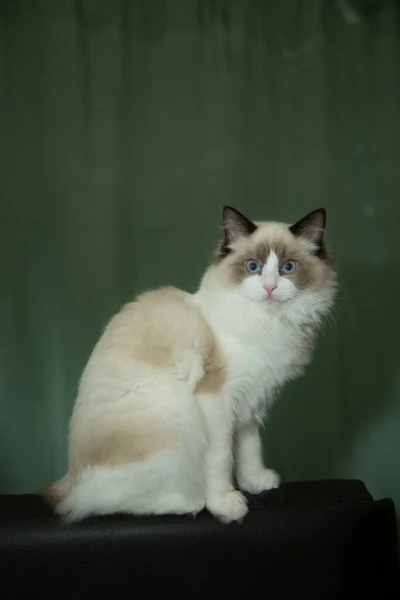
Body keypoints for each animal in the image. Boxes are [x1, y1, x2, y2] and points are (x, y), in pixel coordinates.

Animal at [39, 204, 334, 524]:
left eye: (288, 268)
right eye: (253, 267)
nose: (269, 288)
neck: (268, 326)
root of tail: (68, 483)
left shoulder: (251, 405)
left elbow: (250, 450)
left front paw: (255, 483)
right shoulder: (219, 402)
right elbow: (221, 458)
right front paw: (226, 503)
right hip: (176, 419)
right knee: (102, 504)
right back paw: (191, 502)